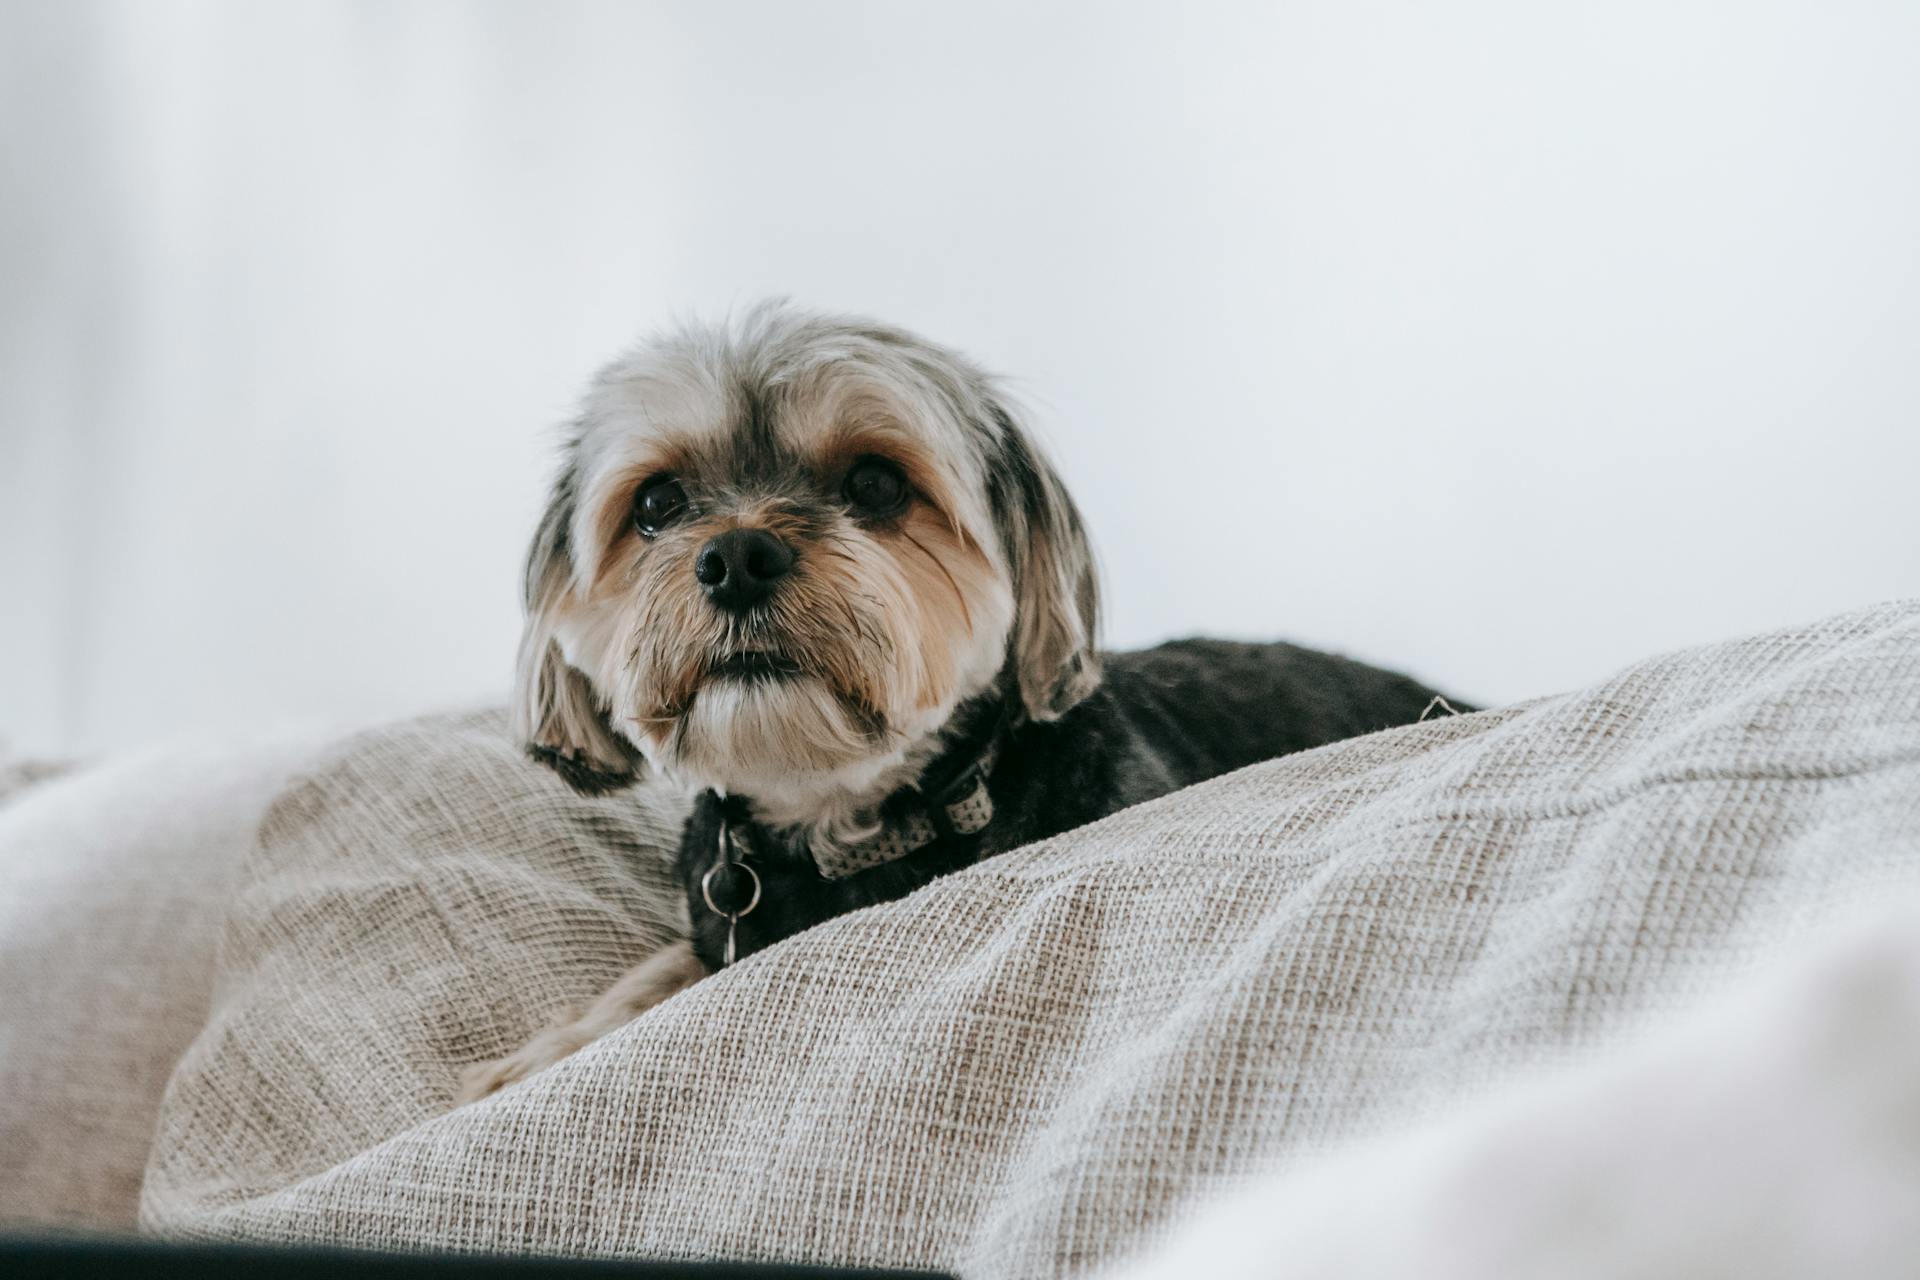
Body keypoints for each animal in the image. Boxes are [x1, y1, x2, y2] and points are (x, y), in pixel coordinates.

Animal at [453, 303, 1466, 1105]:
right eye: (657, 504)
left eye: (875, 483)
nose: (736, 557)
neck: (851, 821)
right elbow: (659, 973)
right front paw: (549, 1049)